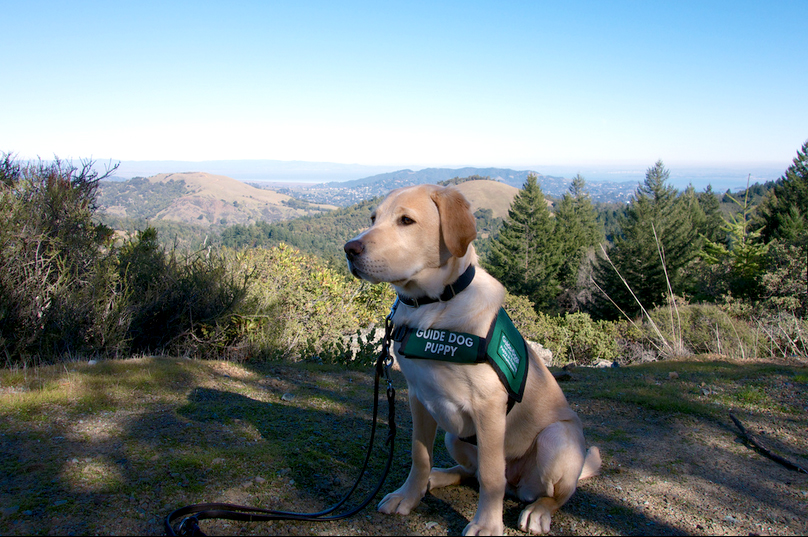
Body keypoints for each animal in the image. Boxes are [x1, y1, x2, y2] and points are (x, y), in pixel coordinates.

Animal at [340, 183, 600, 532]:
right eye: (373, 218)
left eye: (406, 221)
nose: (349, 249)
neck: (433, 306)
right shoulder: (419, 397)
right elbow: (420, 455)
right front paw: (408, 496)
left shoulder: (488, 407)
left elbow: (491, 476)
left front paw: (487, 524)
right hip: (453, 435)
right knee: (470, 472)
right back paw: (438, 477)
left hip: (556, 439)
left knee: (548, 493)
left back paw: (538, 511)